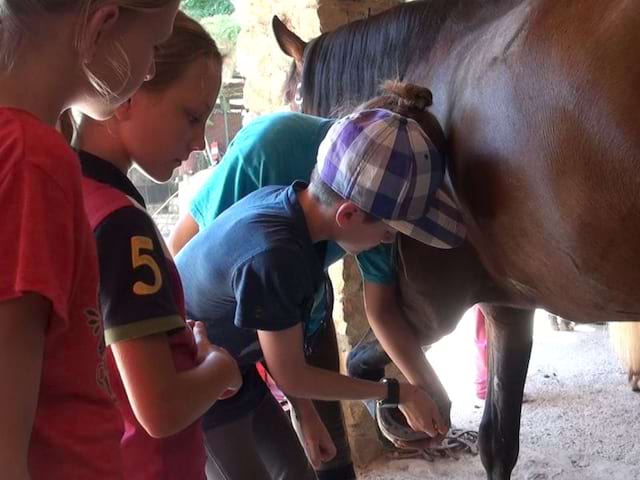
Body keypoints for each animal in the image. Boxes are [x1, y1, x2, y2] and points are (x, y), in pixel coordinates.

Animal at [272, 1, 640, 478]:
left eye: (291, 98)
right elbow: (497, 441)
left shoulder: (429, 310)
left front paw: (400, 414)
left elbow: (359, 361)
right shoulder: (508, 306)